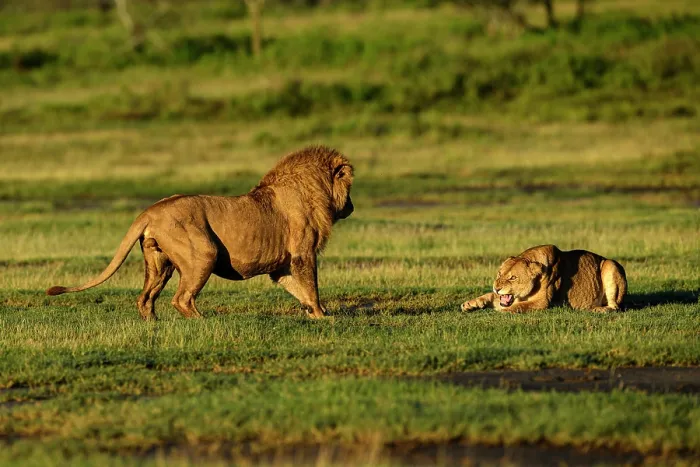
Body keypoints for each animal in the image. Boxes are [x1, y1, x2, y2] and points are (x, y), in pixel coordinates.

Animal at [47, 145, 354, 320]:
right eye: (349, 188)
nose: (351, 207)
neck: (315, 188)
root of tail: (151, 210)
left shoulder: (282, 266)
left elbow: (298, 288)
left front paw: (314, 314)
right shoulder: (303, 253)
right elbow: (311, 285)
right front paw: (323, 316)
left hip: (160, 262)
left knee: (145, 298)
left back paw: (153, 324)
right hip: (204, 253)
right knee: (181, 298)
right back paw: (204, 320)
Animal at [461, 245, 627, 313]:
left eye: (513, 277)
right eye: (499, 274)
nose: (497, 287)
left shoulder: (543, 302)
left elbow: (519, 306)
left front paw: (501, 309)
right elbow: (489, 296)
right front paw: (470, 304)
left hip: (611, 265)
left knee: (615, 307)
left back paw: (598, 310)